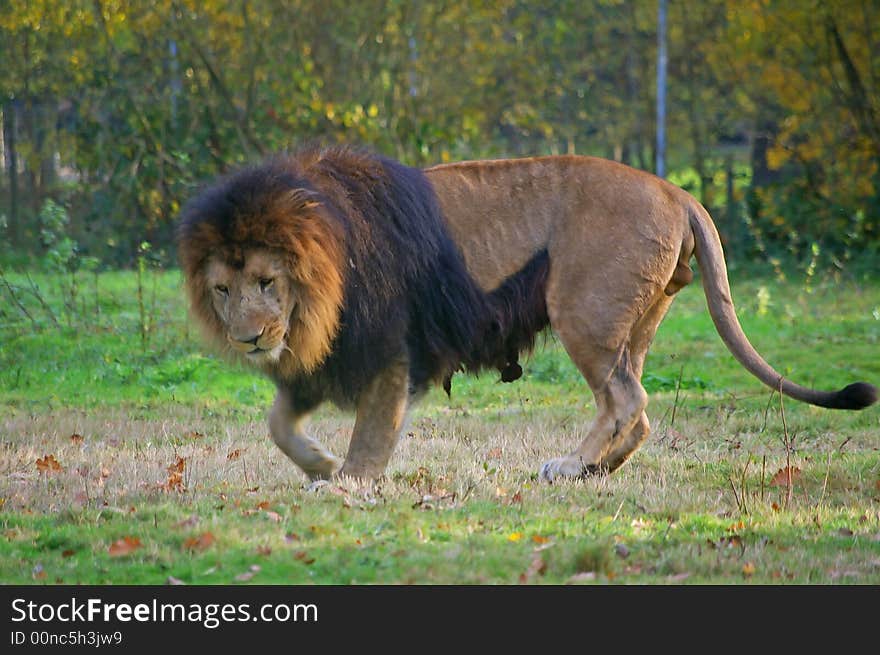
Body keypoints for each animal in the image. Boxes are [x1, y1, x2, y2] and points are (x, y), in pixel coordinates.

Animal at [177, 147, 872, 482]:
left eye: (267, 281)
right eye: (222, 289)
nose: (250, 339)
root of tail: (678, 191)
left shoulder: (393, 349)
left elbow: (372, 432)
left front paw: (347, 481)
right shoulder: (323, 359)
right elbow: (277, 423)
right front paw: (319, 465)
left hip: (582, 311)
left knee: (627, 401)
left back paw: (572, 465)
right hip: (635, 322)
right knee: (638, 408)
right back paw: (595, 470)